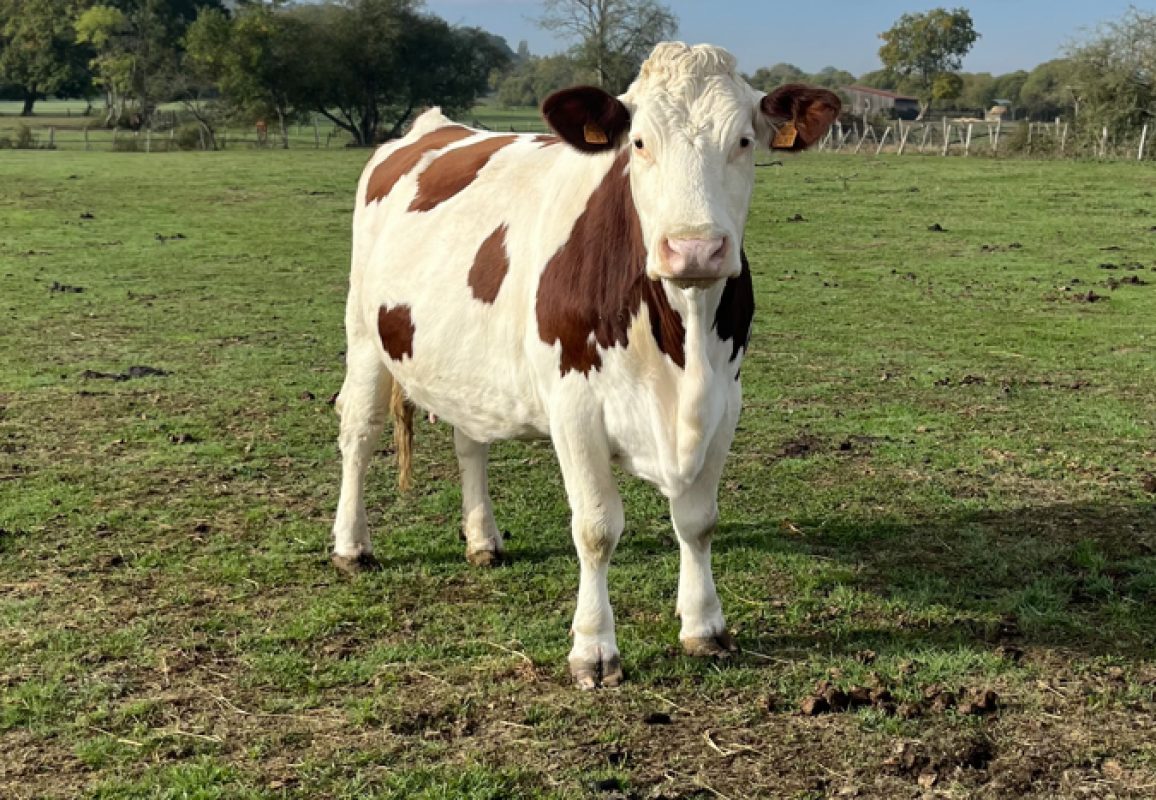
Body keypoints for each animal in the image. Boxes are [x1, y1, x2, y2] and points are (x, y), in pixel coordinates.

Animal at [331, 42, 839, 688]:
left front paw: (704, 626)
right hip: (363, 333)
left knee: (471, 442)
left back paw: (482, 539)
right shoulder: (573, 406)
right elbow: (596, 529)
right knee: (359, 432)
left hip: (468, 368)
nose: (695, 249)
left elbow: (698, 520)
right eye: (639, 142)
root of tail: (433, 126)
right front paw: (594, 649)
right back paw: (352, 546)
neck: (682, 348)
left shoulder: (726, 401)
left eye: (745, 140)